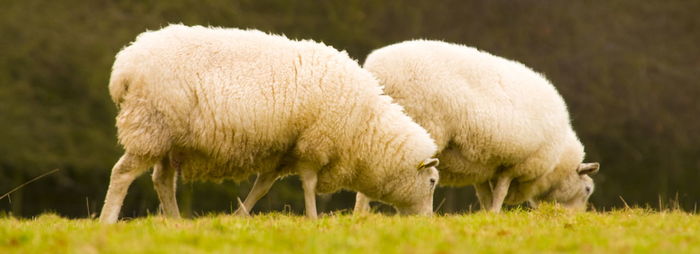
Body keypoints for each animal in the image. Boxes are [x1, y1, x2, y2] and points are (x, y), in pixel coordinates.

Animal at [99, 24, 440, 223]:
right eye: (432, 182)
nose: (427, 222)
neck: (365, 127)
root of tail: (125, 64)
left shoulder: (283, 152)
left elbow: (262, 188)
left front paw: (239, 215)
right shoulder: (313, 144)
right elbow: (309, 185)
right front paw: (313, 219)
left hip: (169, 139)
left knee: (162, 180)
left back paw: (174, 222)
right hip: (150, 125)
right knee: (122, 173)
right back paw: (107, 220)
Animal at [352, 39, 600, 213]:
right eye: (588, 190)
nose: (576, 218)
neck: (556, 162)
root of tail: (379, 68)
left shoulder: (482, 167)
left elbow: (485, 196)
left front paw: (486, 215)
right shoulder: (515, 163)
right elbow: (500, 194)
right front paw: (496, 214)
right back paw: (362, 214)